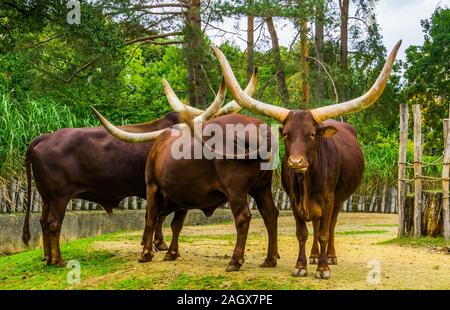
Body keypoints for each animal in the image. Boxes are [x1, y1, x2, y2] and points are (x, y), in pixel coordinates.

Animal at [22, 71, 258, 266]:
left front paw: (155, 244)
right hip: (59, 196)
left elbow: (158, 218)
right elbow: (156, 217)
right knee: (53, 223)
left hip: (46, 197)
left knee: (43, 221)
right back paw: (58, 260)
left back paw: (47, 257)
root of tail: (44, 137)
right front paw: (155, 245)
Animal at [93, 81, 280, 272]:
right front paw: (171, 253)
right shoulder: (183, 194)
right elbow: (176, 224)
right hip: (262, 187)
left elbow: (151, 218)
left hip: (236, 189)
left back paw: (235, 261)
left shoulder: (152, 187)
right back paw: (270, 259)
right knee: (270, 213)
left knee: (243, 216)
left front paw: (146, 254)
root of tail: (259, 128)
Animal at [213, 39, 402, 278]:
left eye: (312, 134)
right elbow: (302, 232)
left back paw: (329, 256)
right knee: (316, 224)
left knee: (330, 225)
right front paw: (301, 265)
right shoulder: (294, 200)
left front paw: (323, 268)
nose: (296, 162)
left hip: (339, 199)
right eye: (286, 134)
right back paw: (313, 255)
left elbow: (323, 232)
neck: (307, 181)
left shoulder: (329, 199)